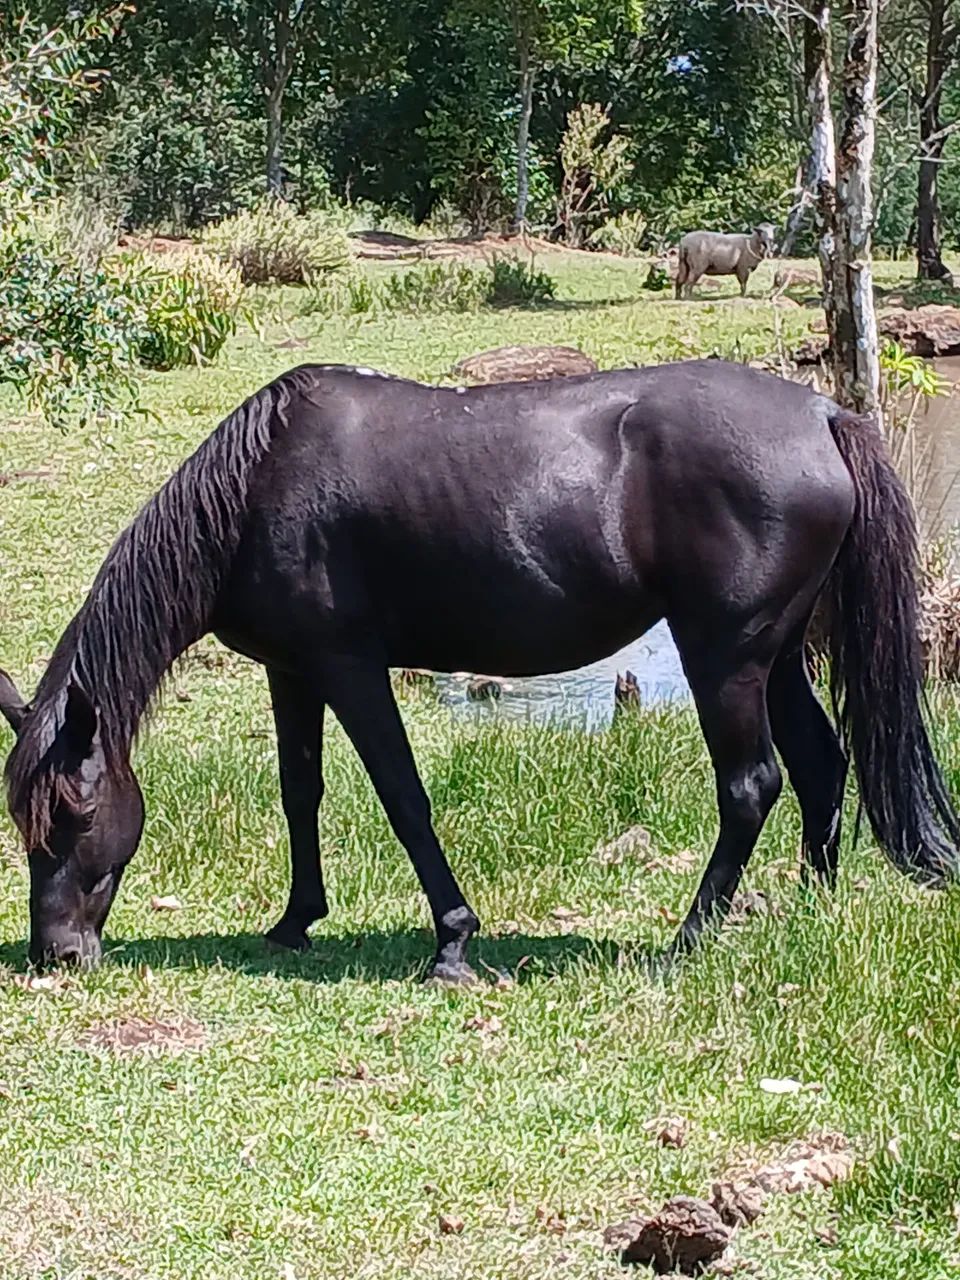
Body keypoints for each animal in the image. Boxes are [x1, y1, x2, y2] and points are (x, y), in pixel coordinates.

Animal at [0, 360, 957, 980]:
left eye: (74, 817)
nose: (58, 954)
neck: (256, 489)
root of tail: (824, 416)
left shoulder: (350, 668)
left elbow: (403, 798)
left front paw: (453, 942)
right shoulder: (292, 673)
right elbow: (299, 792)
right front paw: (295, 919)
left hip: (725, 657)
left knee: (752, 784)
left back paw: (687, 939)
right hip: (779, 654)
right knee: (821, 763)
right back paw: (809, 910)